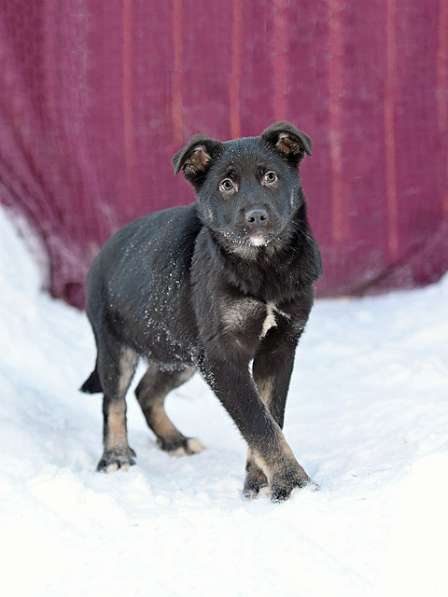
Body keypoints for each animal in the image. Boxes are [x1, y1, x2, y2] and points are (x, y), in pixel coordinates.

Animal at [81, 123, 322, 500]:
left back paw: (174, 440)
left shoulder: (279, 347)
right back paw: (116, 457)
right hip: (116, 347)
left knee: (145, 392)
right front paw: (293, 484)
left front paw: (258, 483)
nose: (256, 216)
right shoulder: (222, 357)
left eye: (271, 177)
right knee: (114, 400)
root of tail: (104, 250)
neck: (261, 267)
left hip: (178, 351)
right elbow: (258, 423)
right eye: (226, 185)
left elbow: (270, 416)